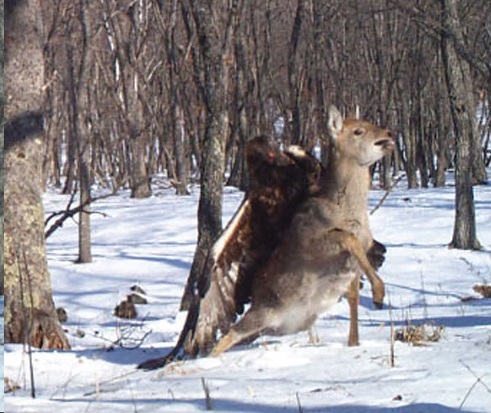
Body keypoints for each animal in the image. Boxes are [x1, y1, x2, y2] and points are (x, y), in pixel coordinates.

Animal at [209, 104, 394, 352]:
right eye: (358, 131)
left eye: (368, 122)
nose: (389, 134)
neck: (349, 212)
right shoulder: (313, 243)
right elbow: (347, 238)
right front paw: (378, 295)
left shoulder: (358, 258)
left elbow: (354, 297)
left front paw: (354, 341)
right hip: (263, 312)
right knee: (228, 335)